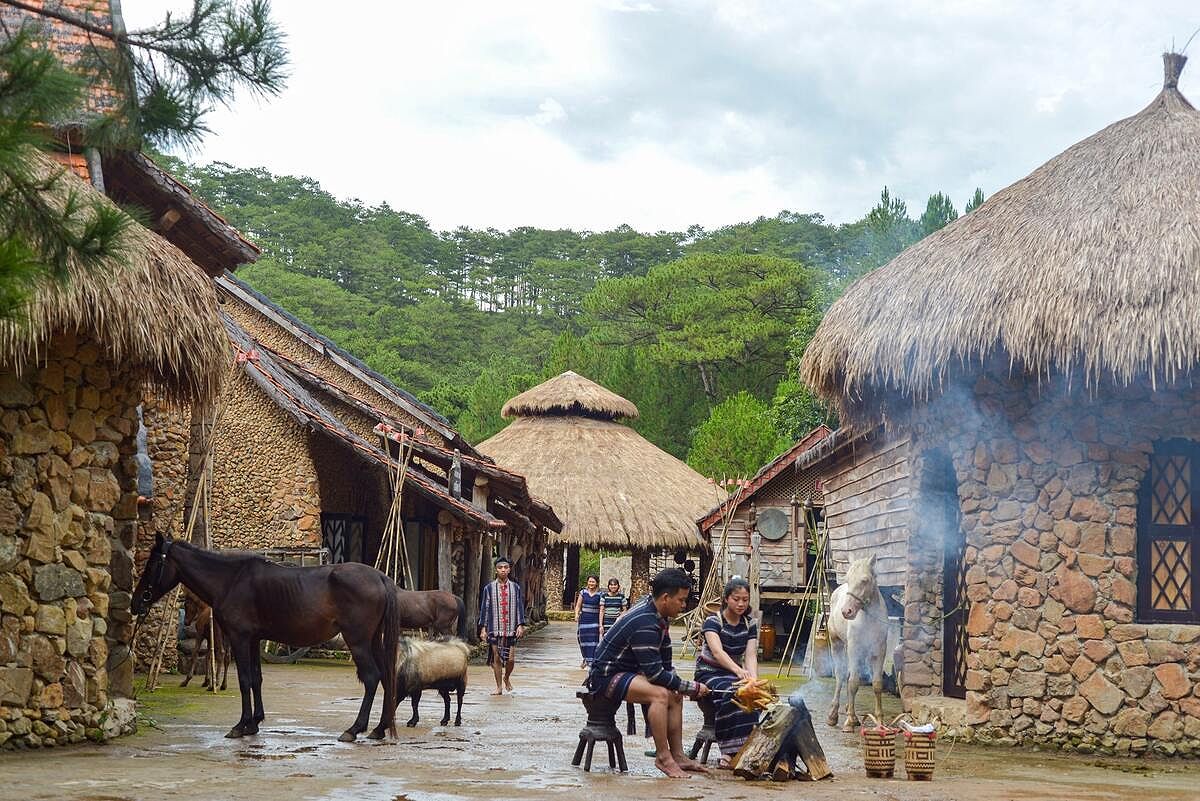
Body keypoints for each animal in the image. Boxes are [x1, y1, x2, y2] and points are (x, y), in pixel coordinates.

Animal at [133, 534, 400, 743]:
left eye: (152, 564)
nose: (136, 602)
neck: (231, 580)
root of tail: (380, 578)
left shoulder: (240, 638)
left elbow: (244, 680)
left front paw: (240, 725)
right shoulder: (253, 639)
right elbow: (256, 679)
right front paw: (254, 723)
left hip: (358, 642)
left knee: (371, 678)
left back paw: (354, 729)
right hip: (374, 642)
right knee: (387, 677)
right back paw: (379, 729)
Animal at [830, 553, 888, 729]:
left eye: (865, 580)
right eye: (848, 579)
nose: (846, 611)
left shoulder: (879, 652)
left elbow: (877, 684)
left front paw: (880, 721)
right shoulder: (854, 649)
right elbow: (853, 682)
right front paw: (849, 721)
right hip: (837, 644)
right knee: (841, 676)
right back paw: (834, 715)